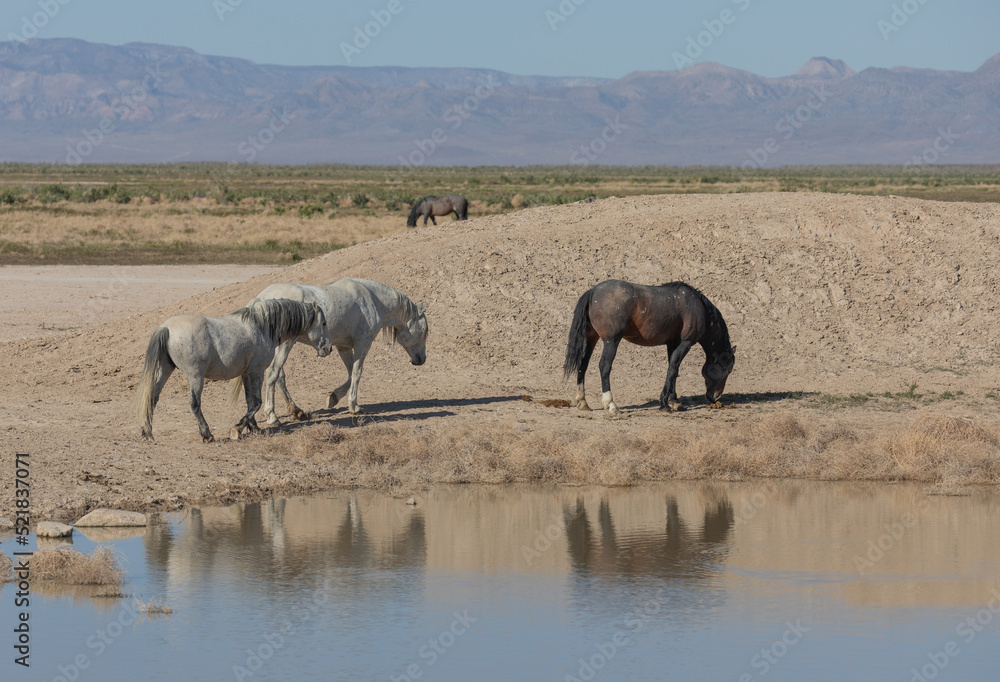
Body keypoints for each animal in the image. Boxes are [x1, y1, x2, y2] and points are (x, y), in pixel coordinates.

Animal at [137, 299, 332, 442]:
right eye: (323, 323)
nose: (328, 348)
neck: (262, 327)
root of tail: (166, 327)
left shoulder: (246, 373)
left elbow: (249, 401)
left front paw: (254, 427)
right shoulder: (256, 372)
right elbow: (257, 402)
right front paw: (238, 428)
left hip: (165, 370)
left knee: (152, 397)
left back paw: (147, 431)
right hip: (196, 377)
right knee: (194, 403)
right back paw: (207, 434)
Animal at [234, 278, 429, 423]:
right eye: (425, 330)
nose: (421, 360)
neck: (372, 299)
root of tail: (260, 299)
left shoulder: (343, 347)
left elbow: (350, 374)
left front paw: (334, 397)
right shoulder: (363, 344)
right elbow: (357, 373)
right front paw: (354, 406)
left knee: (279, 376)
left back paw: (297, 411)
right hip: (285, 345)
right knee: (273, 374)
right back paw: (272, 416)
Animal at [563, 280, 736, 415]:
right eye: (728, 370)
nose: (715, 397)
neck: (697, 307)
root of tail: (593, 292)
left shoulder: (673, 344)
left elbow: (673, 371)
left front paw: (674, 401)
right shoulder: (684, 344)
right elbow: (672, 370)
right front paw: (665, 404)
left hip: (591, 338)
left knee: (582, 365)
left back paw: (583, 402)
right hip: (611, 341)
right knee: (604, 366)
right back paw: (611, 404)